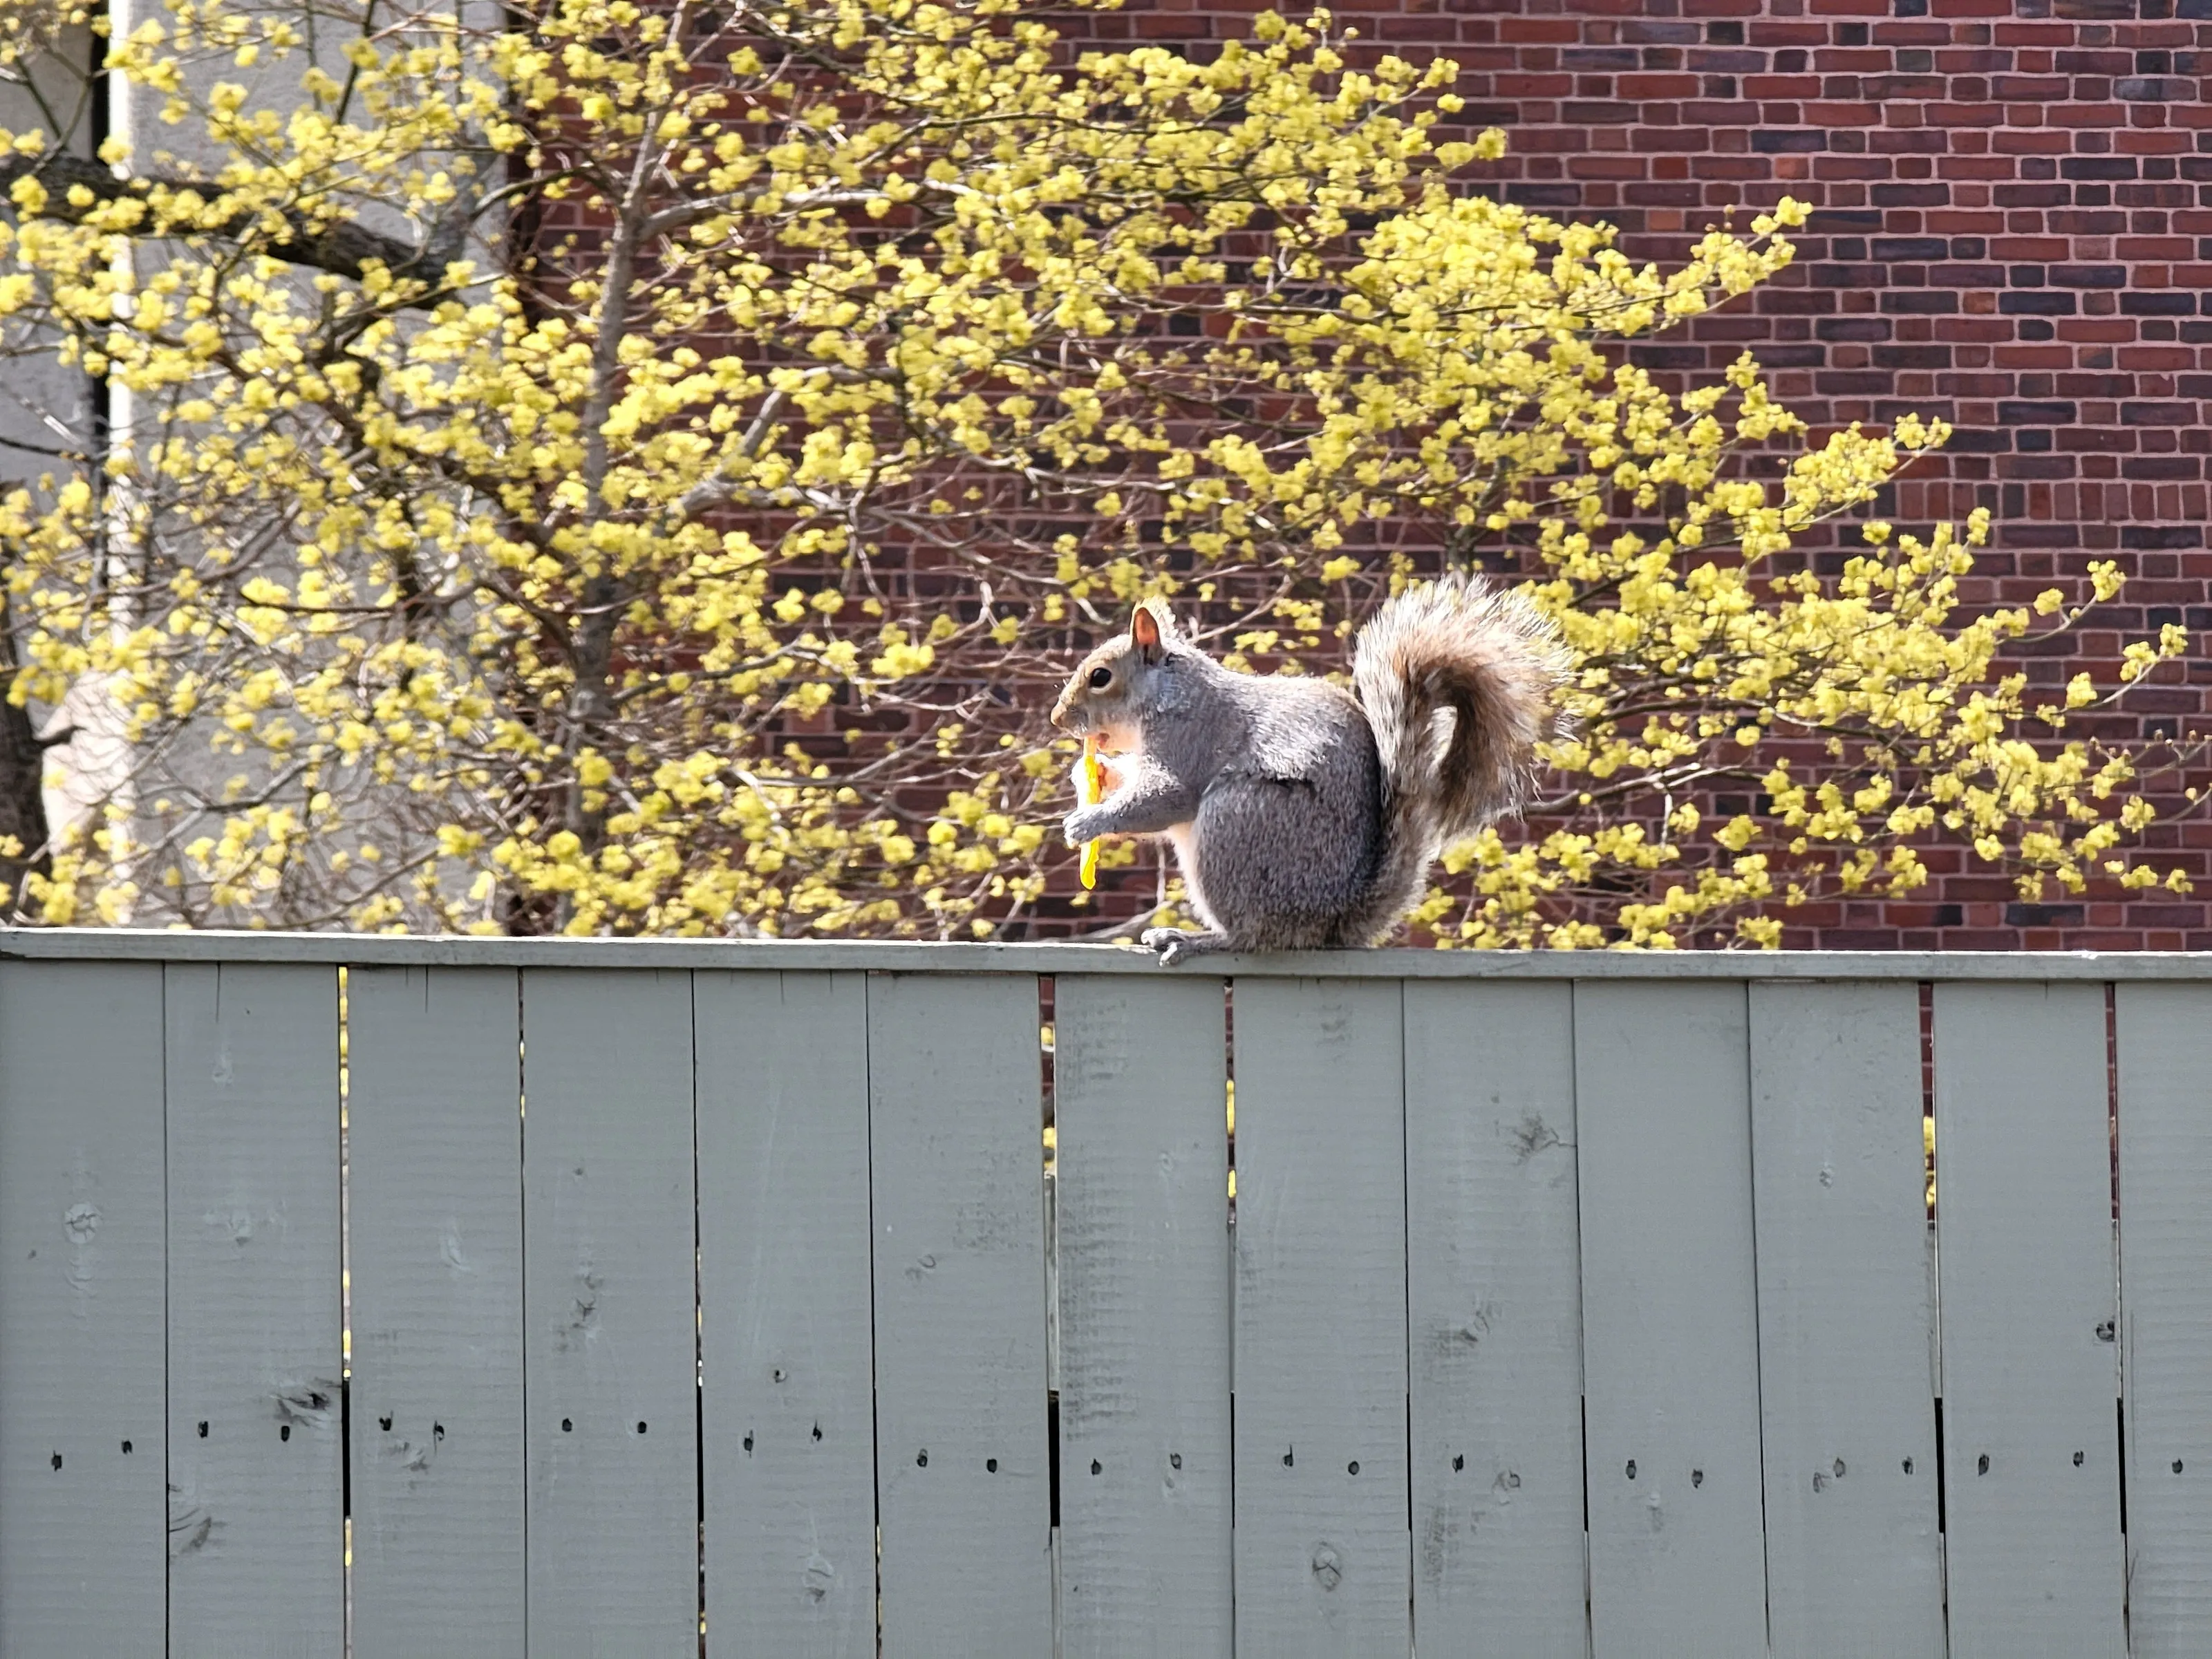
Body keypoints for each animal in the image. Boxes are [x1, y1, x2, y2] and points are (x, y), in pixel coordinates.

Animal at [1051, 577, 1569, 964]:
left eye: (1100, 677)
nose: (1058, 719)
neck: (1168, 693)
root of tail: (1331, 921)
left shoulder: (1192, 741)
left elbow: (1165, 800)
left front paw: (1088, 821)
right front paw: (1091, 775)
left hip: (1237, 823)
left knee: (1256, 937)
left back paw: (1196, 939)